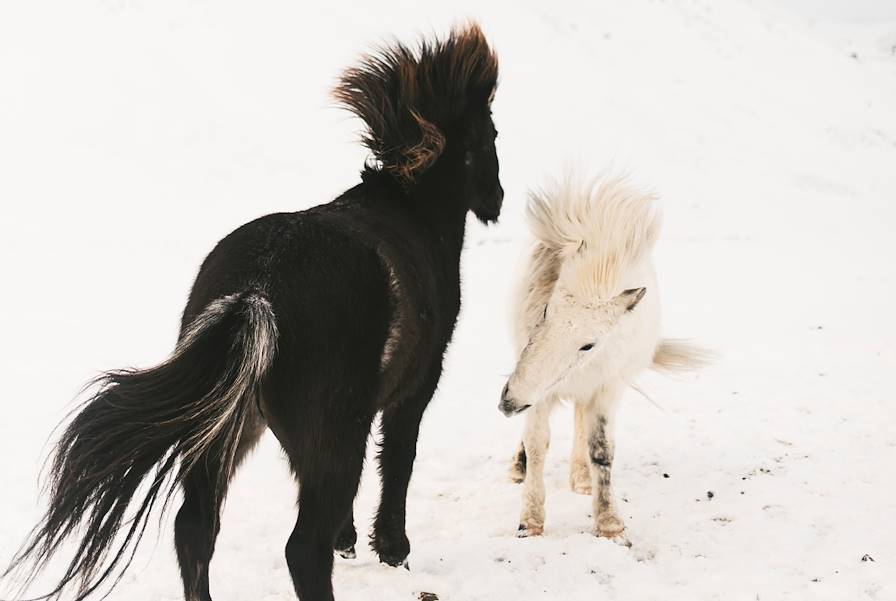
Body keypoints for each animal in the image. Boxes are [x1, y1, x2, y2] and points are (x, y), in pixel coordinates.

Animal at [3, 22, 500, 600]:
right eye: (490, 135)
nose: (497, 199)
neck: (410, 212)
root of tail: (254, 294)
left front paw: (353, 540)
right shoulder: (416, 386)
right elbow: (399, 460)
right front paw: (392, 549)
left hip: (224, 429)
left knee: (196, 528)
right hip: (320, 431)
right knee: (300, 548)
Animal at [500, 175, 704, 544]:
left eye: (588, 345)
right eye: (547, 310)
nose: (508, 402)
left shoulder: (607, 388)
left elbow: (602, 450)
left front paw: (609, 523)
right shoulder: (539, 393)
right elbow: (536, 445)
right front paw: (530, 522)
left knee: (581, 421)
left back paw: (581, 480)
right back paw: (519, 468)